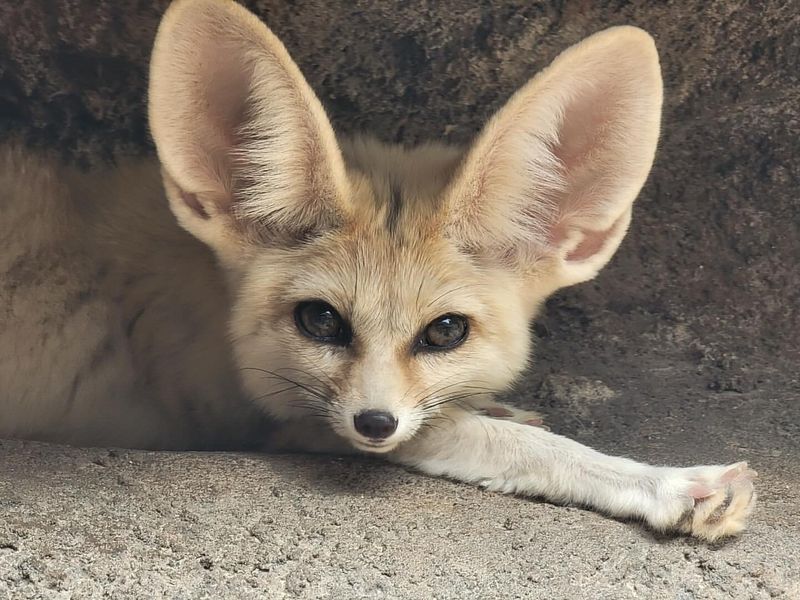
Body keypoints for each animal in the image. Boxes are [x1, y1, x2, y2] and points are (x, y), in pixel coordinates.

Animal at [0, 0, 756, 544]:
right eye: (320, 320)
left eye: (445, 332)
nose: (373, 422)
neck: (206, 295)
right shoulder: (272, 418)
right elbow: (521, 447)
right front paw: (671, 484)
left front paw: (492, 401)